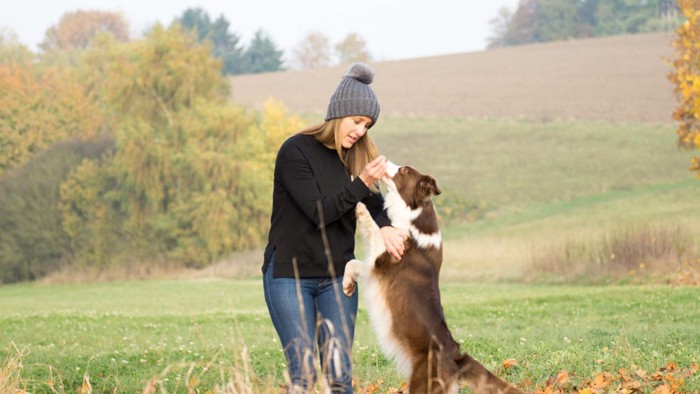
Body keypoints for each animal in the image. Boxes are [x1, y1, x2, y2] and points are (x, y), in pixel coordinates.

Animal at [342, 162, 524, 394]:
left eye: (404, 170)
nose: (382, 162)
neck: (414, 214)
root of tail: (456, 358)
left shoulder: (381, 264)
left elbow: (356, 258)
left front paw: (347, 285)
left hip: (421, 382)